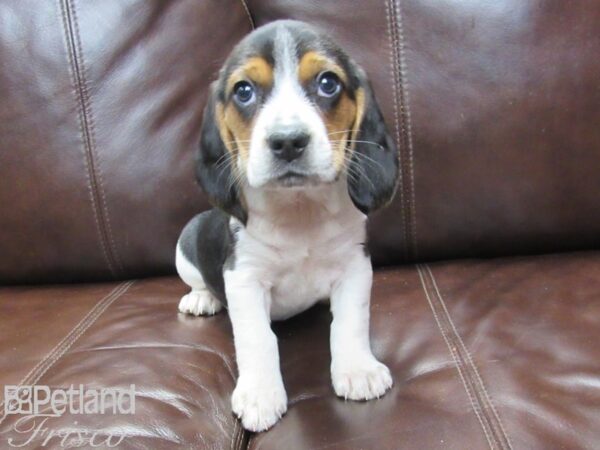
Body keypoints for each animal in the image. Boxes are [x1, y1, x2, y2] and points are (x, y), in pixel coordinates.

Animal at [175, 19, 398, 430]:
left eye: (328, 83)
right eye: (243, 91)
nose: (288, 141)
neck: (299, 208)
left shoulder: (354, 267)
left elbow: (350, 322)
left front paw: (358, 370)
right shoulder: (244, 278)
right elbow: (257, 338)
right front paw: (261, 393)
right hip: (186, 243)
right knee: (198, 281)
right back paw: (202, 298)